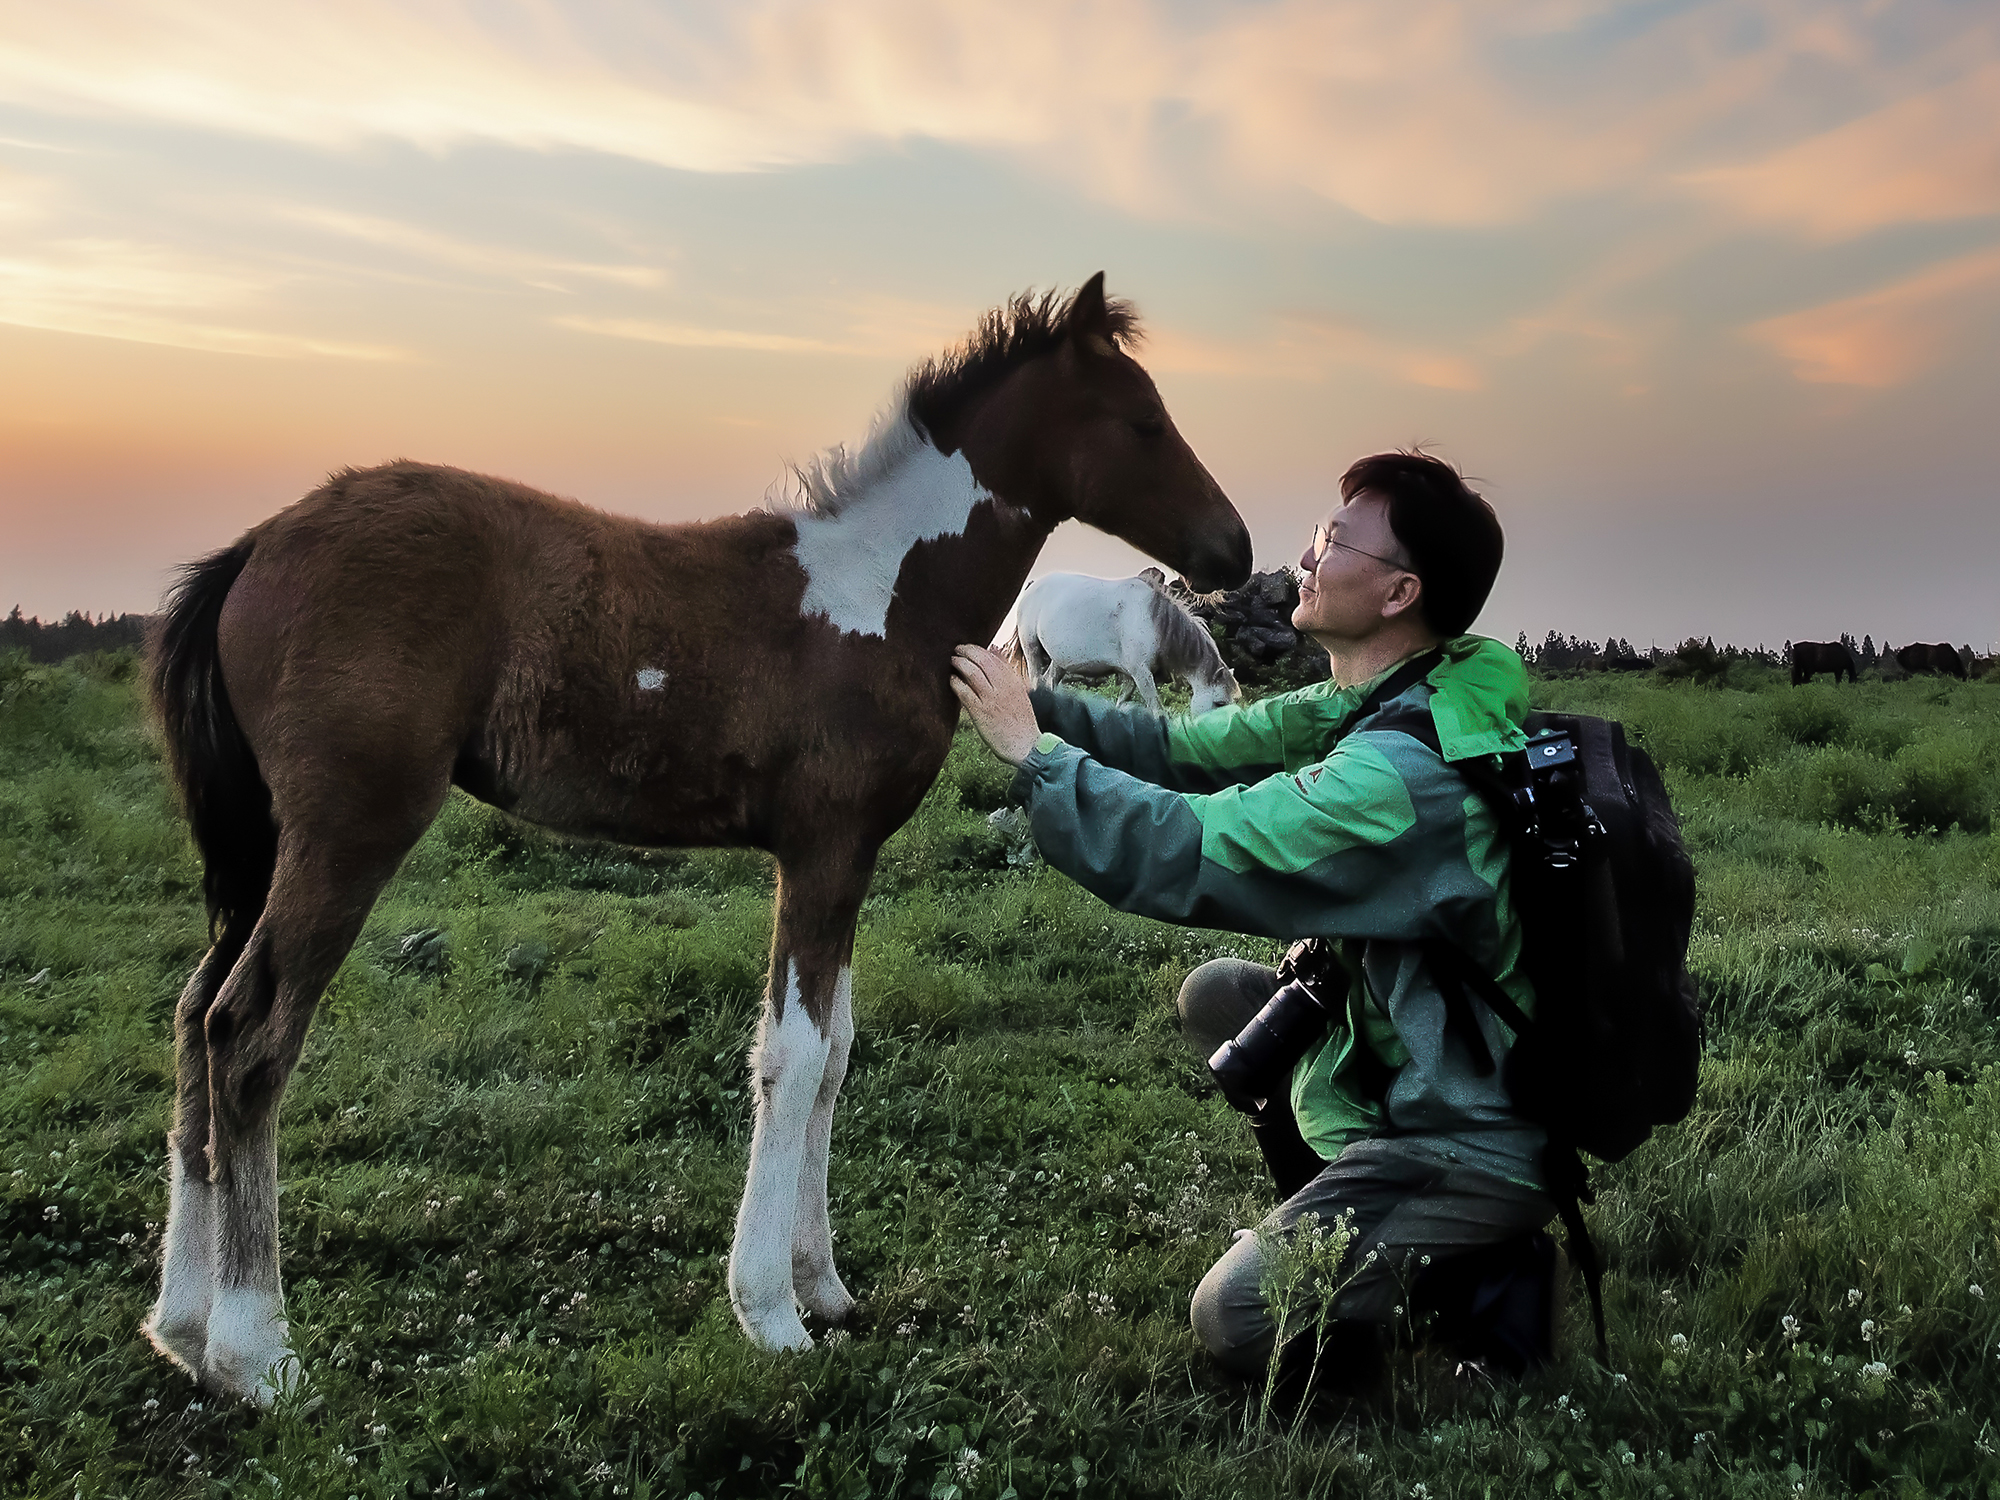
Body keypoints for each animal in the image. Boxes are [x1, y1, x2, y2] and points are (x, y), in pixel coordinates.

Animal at [1008, 576, 1240, 716]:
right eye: (1219, 703)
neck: (1152, 620)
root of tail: (1033, 584)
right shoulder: (1141, 674)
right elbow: (1157, 709)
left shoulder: (1130, 676)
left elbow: (1121, 702)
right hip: (1032, 648)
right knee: (1037, 679)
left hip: (1060, 662)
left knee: (1050, 682)